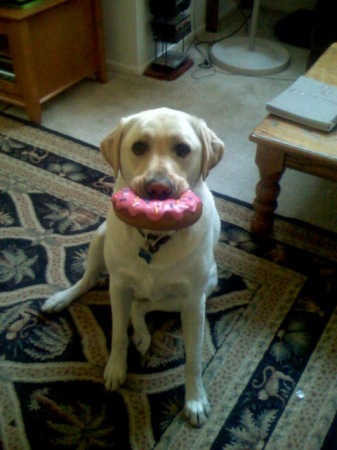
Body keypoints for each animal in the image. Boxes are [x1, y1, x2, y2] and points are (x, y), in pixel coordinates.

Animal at [43, 107, 224, 428]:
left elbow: (193, 357)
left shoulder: (194, 302)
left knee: (142, 306)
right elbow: (117, 334)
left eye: (183, 149)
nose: (158, 187)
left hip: (202, 288)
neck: (153, 239)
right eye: (139, 146)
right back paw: (61, 298)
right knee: (90, 280)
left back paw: (142, 334)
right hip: (100, 237)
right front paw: (116, 368)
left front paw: (195, 400)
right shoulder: (118, 287)